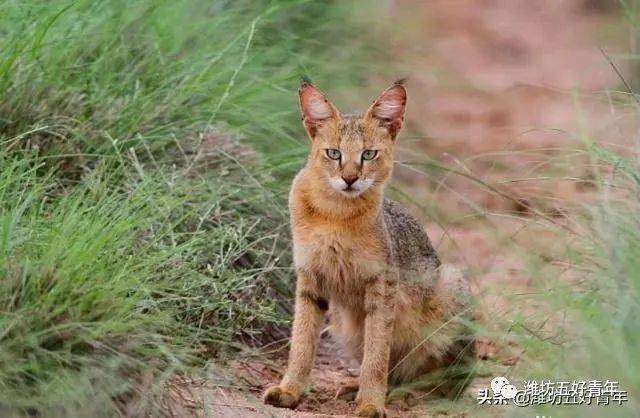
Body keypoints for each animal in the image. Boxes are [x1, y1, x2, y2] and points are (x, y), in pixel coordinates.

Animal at [262, 80, 476, 416]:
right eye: (333, 153)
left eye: (369, 154)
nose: (350, 178)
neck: (335, 215)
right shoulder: (309, 278)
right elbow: (301, 342)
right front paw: (290, 390)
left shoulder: (382, 286)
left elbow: (376, 354)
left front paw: (371, 404)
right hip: (344, 324)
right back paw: (360, 387)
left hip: (452, 286)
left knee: (449, 383)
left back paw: (406, 394)